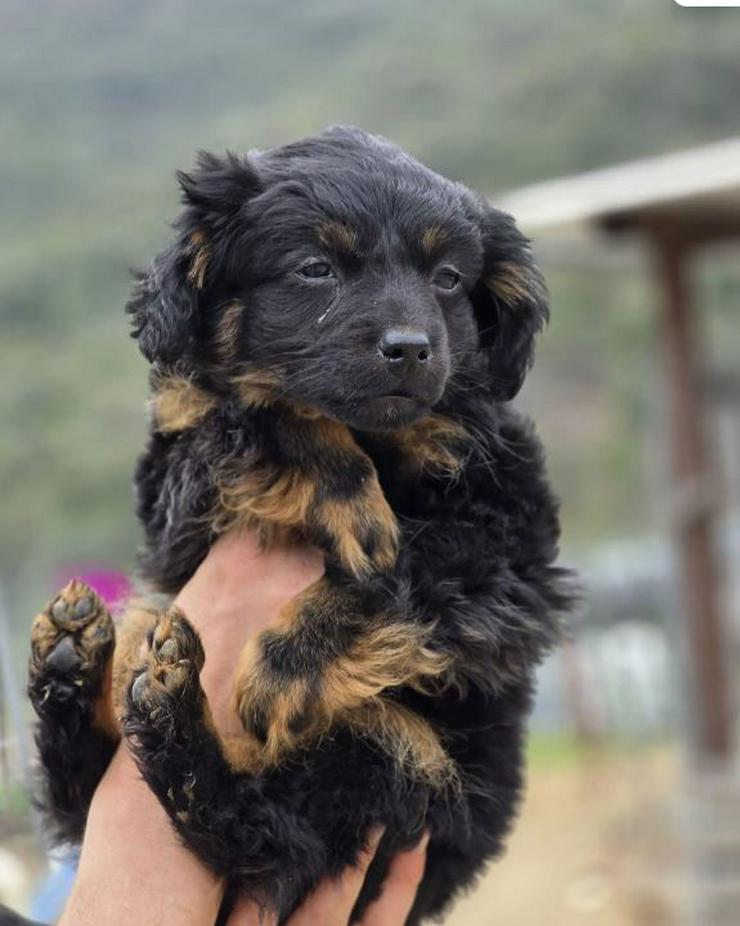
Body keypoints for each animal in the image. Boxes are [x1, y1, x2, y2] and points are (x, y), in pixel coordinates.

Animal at [26, 129, 572, 926]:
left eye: (447, 279)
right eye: (315, 269)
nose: (412, 348)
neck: (377, 441)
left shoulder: (512, 541)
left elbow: (407, 570)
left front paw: (289, 663)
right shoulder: (172, 494)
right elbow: (270, 409)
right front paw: (348, 496)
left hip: (401, 765)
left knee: (269, 836)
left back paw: (154, 714)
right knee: (117, 801)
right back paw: (73, 673)